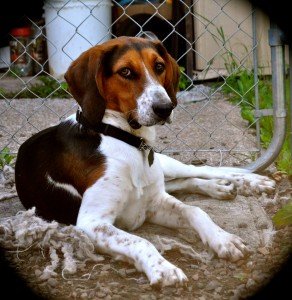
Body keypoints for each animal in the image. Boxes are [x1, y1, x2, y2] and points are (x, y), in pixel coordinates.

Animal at [14, 35, 274, 286]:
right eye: (126, 71)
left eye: (159, 66)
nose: (165, 108)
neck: (126, 140)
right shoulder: (92, 222)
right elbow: (141, 241)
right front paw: (164, 268)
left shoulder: (154, 202)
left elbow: (195, 210)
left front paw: (223, 239)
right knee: (184, 181)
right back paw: (222, 188)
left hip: (167, 165)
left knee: (200, 170)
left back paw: (250, 183)